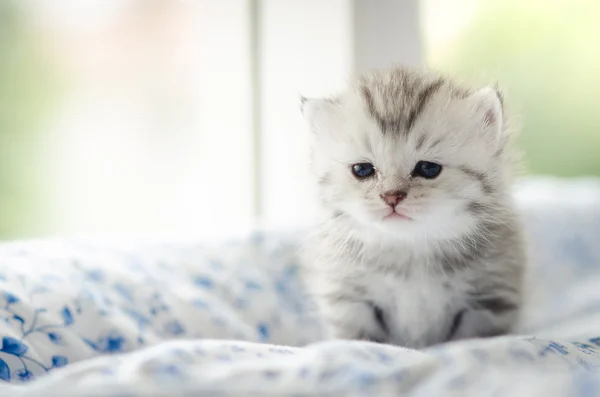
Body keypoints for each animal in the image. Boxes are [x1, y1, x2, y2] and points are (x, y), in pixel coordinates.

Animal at [300, 65, 524, 346]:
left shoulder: (488, 299)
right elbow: (358, 338)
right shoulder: (348, 299)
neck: (410, 251)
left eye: (428, 168)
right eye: (362, 170)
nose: (392, 197)